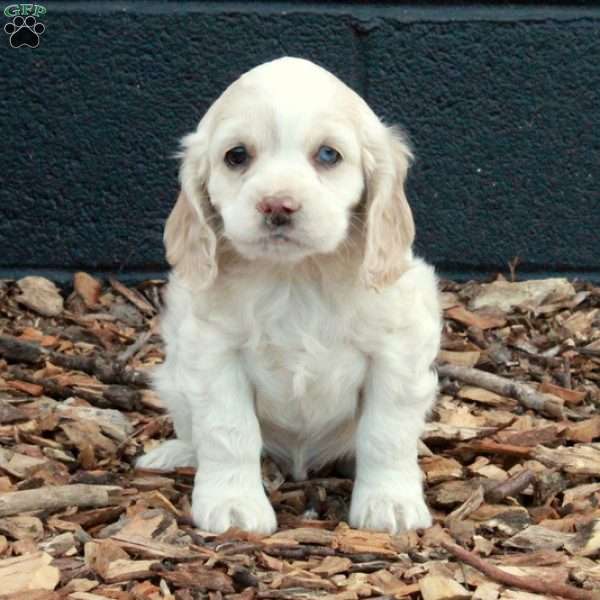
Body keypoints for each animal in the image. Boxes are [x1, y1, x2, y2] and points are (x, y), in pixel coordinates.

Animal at [138, 57, 442, 536]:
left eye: (328, 155)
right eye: (236, 156)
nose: (277, 205)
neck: (297, 274)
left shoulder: (397, 349)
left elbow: (386, 431)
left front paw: (389, 502)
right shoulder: (213, 352)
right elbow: (229, 431)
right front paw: (233, 504)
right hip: (173, 379)